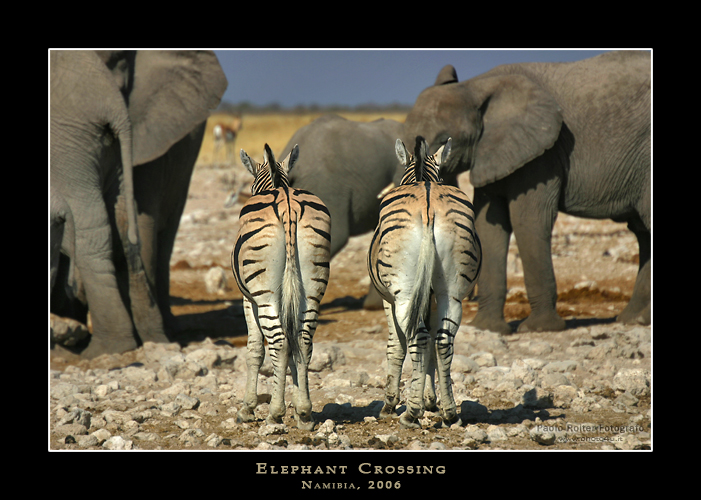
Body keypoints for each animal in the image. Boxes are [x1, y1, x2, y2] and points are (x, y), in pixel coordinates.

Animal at [403, 50, 651, 335]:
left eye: (446, 140)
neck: (475, 86)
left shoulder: (541, 154)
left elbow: (528, 222)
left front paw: (540, 328)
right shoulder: (494, 153)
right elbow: (489, 225)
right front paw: (488, 328)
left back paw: (638, 320)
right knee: (643, 233)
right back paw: (632, 319)